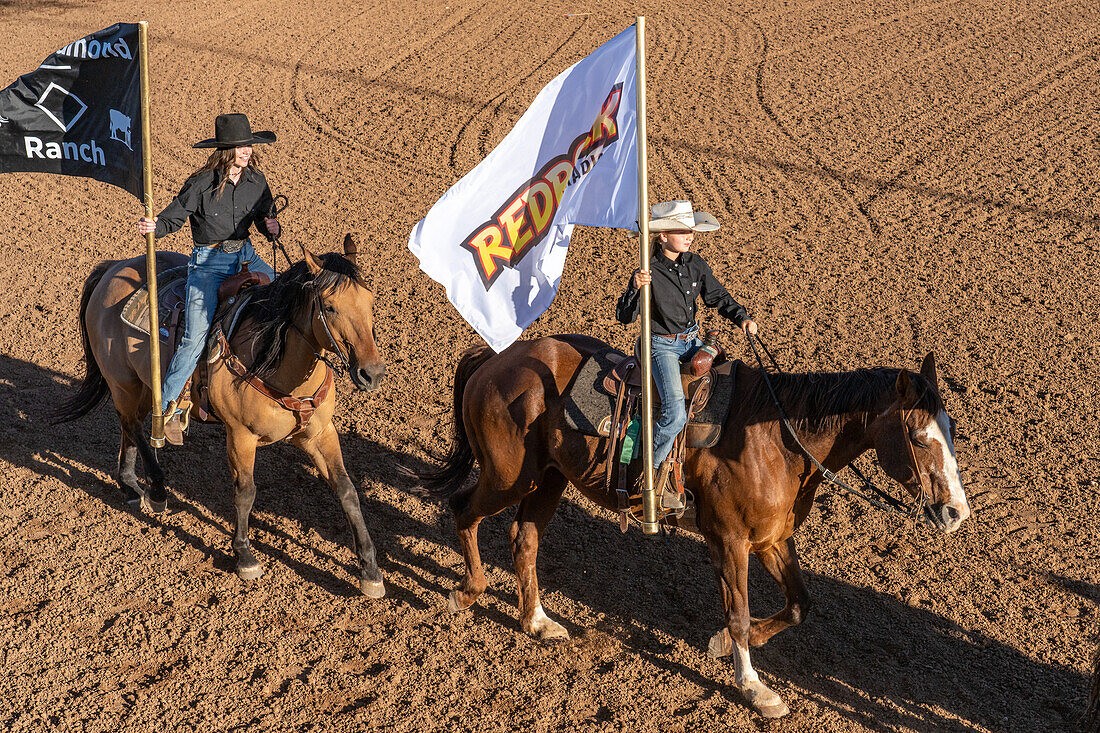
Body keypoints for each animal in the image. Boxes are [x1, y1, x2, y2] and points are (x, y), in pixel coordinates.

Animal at [52, 236, 387, 598]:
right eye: (329, 306)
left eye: (369, 299)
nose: (372, 373)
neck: (275, 362)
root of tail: (113, 267)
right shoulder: (240, 435)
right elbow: (245, 492)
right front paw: (244, 555)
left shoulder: (320, 432)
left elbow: (347, 490)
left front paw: (370, 569)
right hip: (123, 381)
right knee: (134, 426)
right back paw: (156, 489)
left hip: (141, 385)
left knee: (132, 428)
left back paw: (129, 485)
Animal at [413, 334, 972, 717]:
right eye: (918, 437)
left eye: (950, 429)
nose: (956, 513)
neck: (776, 438)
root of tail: (496, 359)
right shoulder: (729, 540)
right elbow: (740, 613)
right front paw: (754, 687)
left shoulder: (773, 539)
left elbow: (799, 605)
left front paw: (724, 646)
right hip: (509, 478)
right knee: (462, 510)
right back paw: (466, 592)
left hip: (548, 480)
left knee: (523, 540)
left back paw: (536, 621)